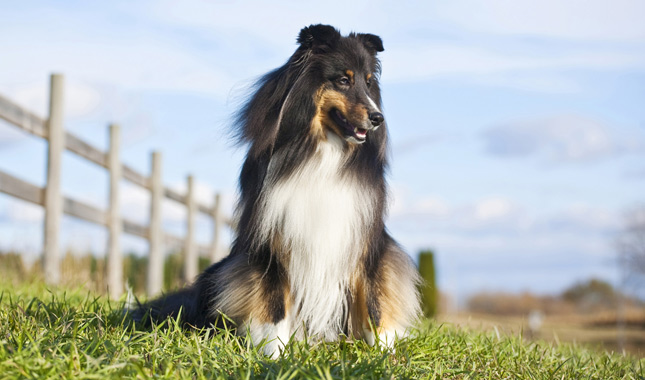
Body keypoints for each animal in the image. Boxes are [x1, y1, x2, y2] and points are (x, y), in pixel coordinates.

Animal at [133, 23, 420, 356]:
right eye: (343, 80)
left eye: (369, 82)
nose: (378, 118)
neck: (322, 151)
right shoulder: (270, 238)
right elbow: (273, 304)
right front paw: (275, 355)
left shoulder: (366, 240)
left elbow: (374, 302)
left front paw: (384, 354)